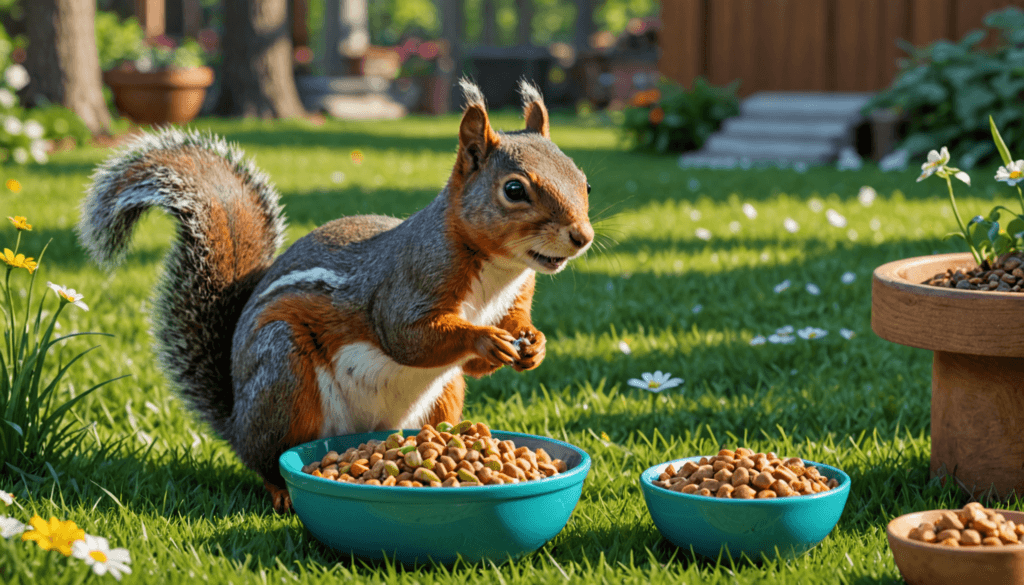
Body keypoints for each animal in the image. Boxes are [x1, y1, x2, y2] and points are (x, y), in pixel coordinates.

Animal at [77, 78, 593, 512]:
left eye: (584, 181)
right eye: (514, 189)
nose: (582, 237)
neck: (498, 272)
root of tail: (237, 422)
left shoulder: (514, 298)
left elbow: (491, 349)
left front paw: (534, 345)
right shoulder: (407, 283)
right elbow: (409, 337)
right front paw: (484, 339)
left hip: (442, 398)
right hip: (284, 374)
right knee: (269, 460)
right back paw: (282, 492)